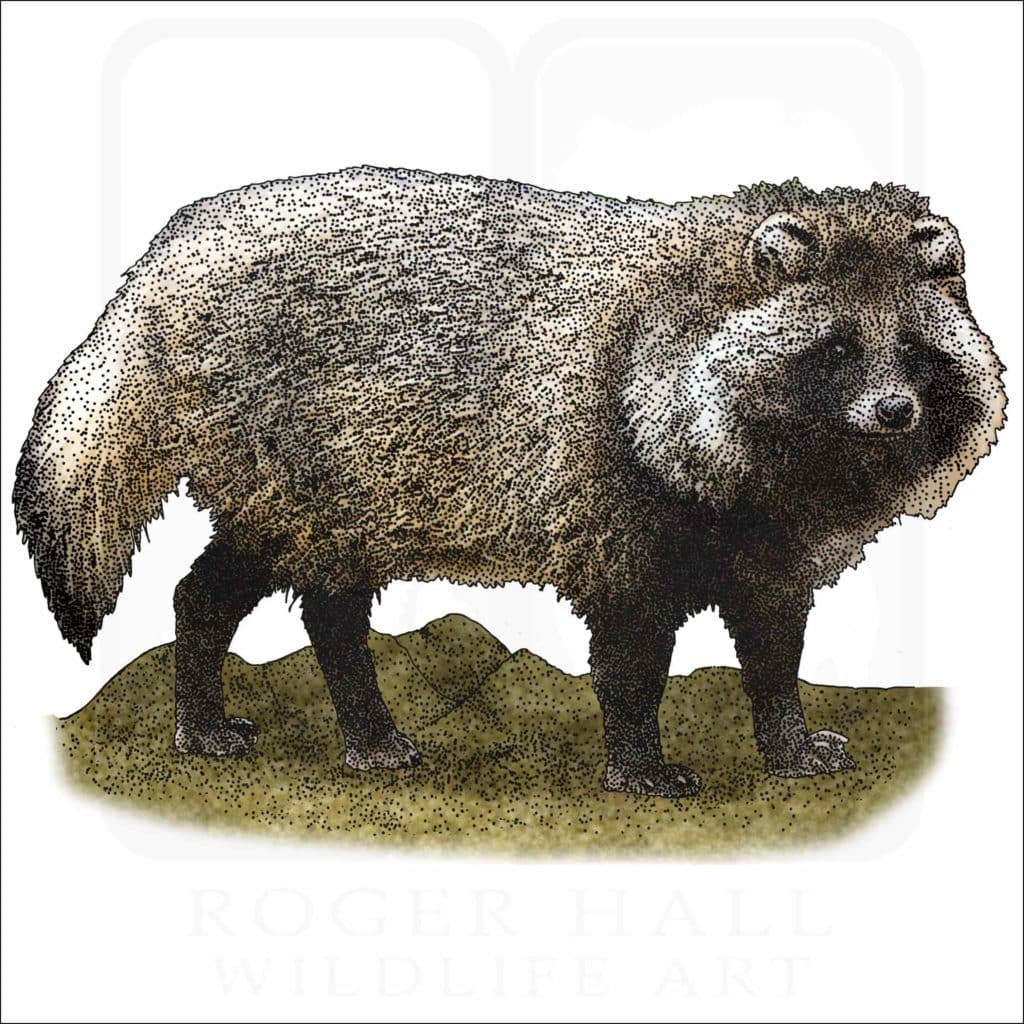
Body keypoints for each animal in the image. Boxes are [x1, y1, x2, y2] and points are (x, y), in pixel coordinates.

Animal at [13, 167, 1006, 797]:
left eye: (913, 352)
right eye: (834, 352)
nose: (894, 413)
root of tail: (164, 263)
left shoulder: (768, 530)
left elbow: (773, 636)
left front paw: (787, 738)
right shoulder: (612, 477)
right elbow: (631, 647)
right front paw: (639, 761)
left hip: (310, 476)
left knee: (237, 587)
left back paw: (279, 716)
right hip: (297, 439)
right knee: (309, 594)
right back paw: (334, 723)